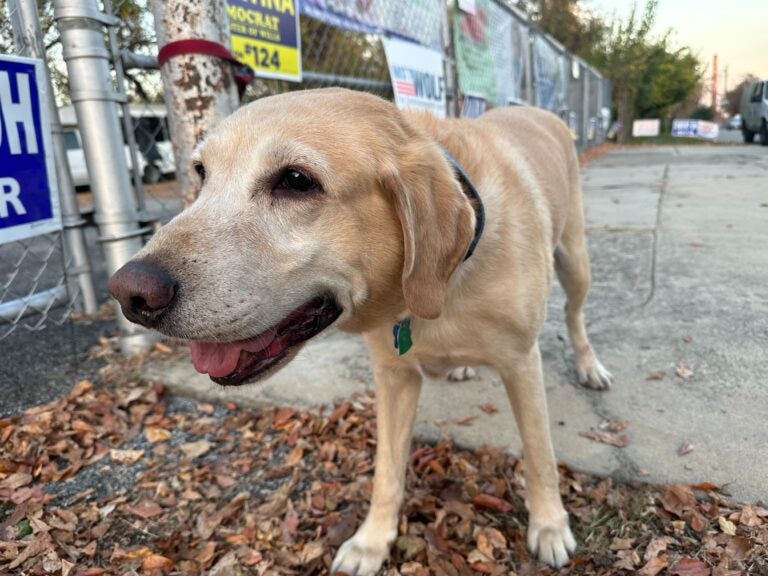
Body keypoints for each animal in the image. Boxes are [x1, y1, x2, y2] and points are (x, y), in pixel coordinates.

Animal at [108, 88, 612, 572]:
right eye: (200, 173)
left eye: (296, 181)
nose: (129, 294)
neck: (439, 289)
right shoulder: (394, 376)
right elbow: (387, 472)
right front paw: (372, 542)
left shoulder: (522, 364)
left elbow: (540, 457)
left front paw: (549, 525)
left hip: (576, 263)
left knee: (576, 318)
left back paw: (590, 367)